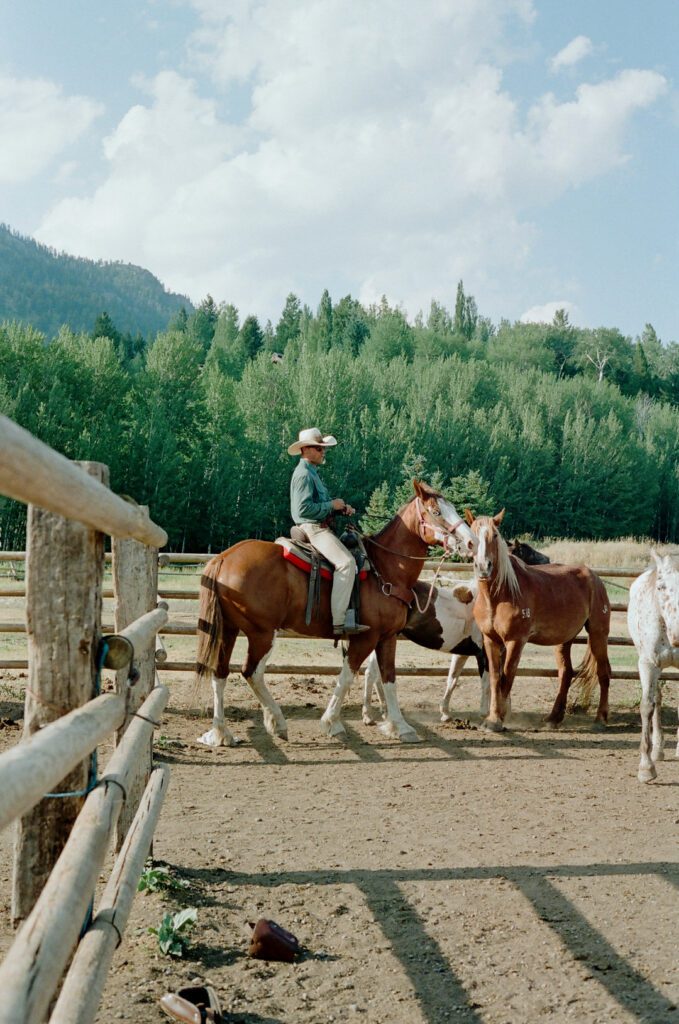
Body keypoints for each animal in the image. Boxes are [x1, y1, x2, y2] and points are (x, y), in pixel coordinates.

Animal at [193, 479, 475, 745]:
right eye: (436, 511)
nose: (470, 542)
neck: (385, 568)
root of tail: (223, 557)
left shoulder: (388, 637)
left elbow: (389, 677)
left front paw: (400, 726)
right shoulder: (366, 637)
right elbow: (348, 676)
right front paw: (331, 723)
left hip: (229, 630)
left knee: (220, 672)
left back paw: (222, 732)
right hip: (261, 633)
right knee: (250, 671)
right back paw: (276, 722)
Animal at [467, 507, 610, 733]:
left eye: (495, 535)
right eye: (472, 536)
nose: (483, 566)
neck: (500, 594)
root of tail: (595, 578)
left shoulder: (516, 641)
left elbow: (507, 676)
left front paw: (499, 718)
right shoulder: (491, 640)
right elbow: (495, 678)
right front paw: (491, 719)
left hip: (598, 633)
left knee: (603, 673)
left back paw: (600, 719)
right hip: (564, 640)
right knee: (566, 673)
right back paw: (553, 718)